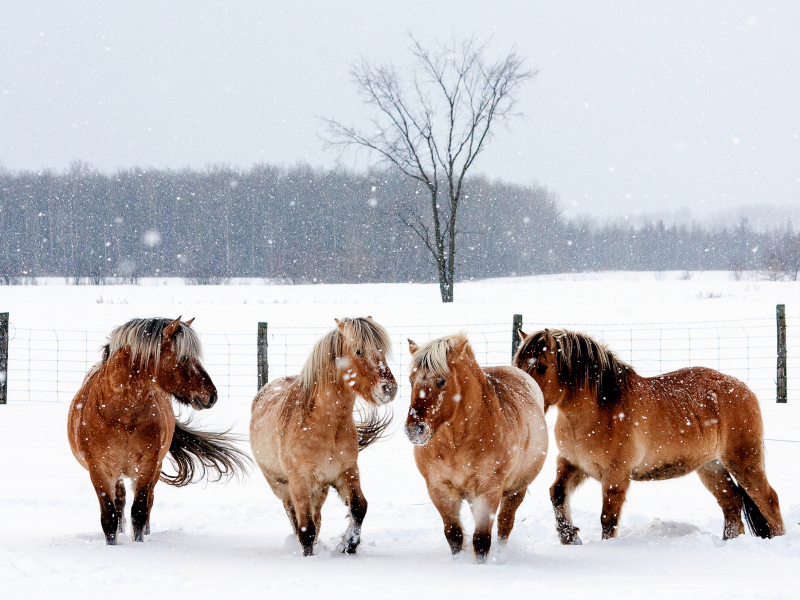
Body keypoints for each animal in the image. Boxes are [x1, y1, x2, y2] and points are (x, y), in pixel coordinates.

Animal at [68, 316, 250, 548]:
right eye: (184, 357)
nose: (212, 396)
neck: (123, 417)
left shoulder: (147, 467)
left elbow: (139, 512)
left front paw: (139, 543)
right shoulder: (99, 471)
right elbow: (109, 517)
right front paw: (113, 545)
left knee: (148, 503)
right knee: (120, 501)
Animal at [250, 316, 396, 556]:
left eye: (383, 350)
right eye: (358, 351)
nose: (389, 389)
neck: (326, 426)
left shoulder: (347, 471)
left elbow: (359, 507)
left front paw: (348, 545)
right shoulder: (299, 481)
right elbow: (305, 528)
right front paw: (310, 556)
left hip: (320, 489)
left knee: (317, 517)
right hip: (281, 486)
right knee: (294, 516)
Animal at [406, 332, 552, 564]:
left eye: (441, 381)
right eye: (411, 381)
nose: (414, 429)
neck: (455, 444)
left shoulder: (488, 490)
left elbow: (482, 539)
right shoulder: (439, 490)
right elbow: (454, 534)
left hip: (515, 490)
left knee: (505, 524)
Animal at [512, 328, 788, 544]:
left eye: (542, 367)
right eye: (517, 365)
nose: (526, 398)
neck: (601, 408)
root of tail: (744, 389)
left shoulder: (616, 476)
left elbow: (608, 518)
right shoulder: (572, 464)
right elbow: (557, 493)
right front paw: (570, 537)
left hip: (744, 461)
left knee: (768, 499)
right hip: (711, 467)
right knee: (731, 503)